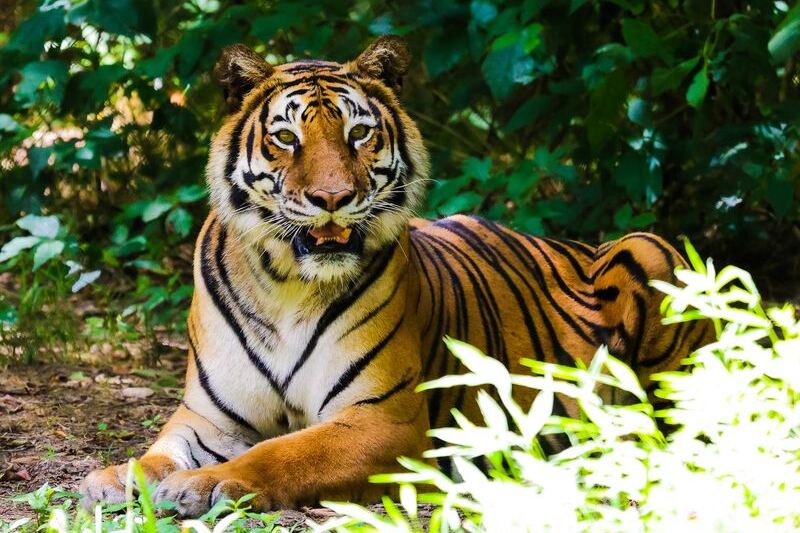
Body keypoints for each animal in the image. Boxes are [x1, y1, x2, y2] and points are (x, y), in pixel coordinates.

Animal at [79, 36, 711, 516]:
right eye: (286, 137)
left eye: (358, 134)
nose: (332, 198)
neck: (287, 284)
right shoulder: (209, 417)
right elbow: (159, 451)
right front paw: (113, 477)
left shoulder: (384, 419)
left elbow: (285, 453)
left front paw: (204, 484)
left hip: (651, 250)